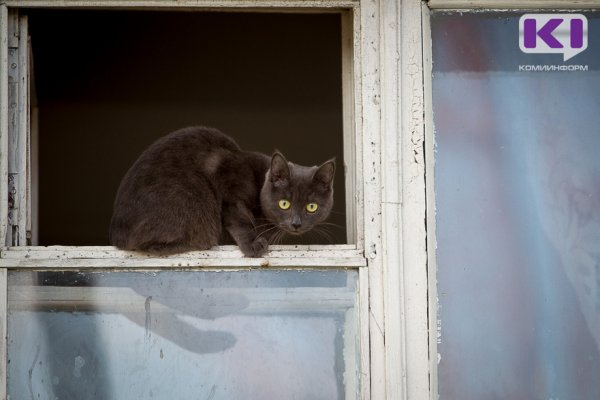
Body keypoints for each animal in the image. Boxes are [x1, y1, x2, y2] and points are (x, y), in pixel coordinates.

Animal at [108, 126, 332, 258]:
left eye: (312, 207)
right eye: (284, 204)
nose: (296, 224)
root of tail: (116, 234)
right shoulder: (228, 180)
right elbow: (240, 218)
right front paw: (254, 245)